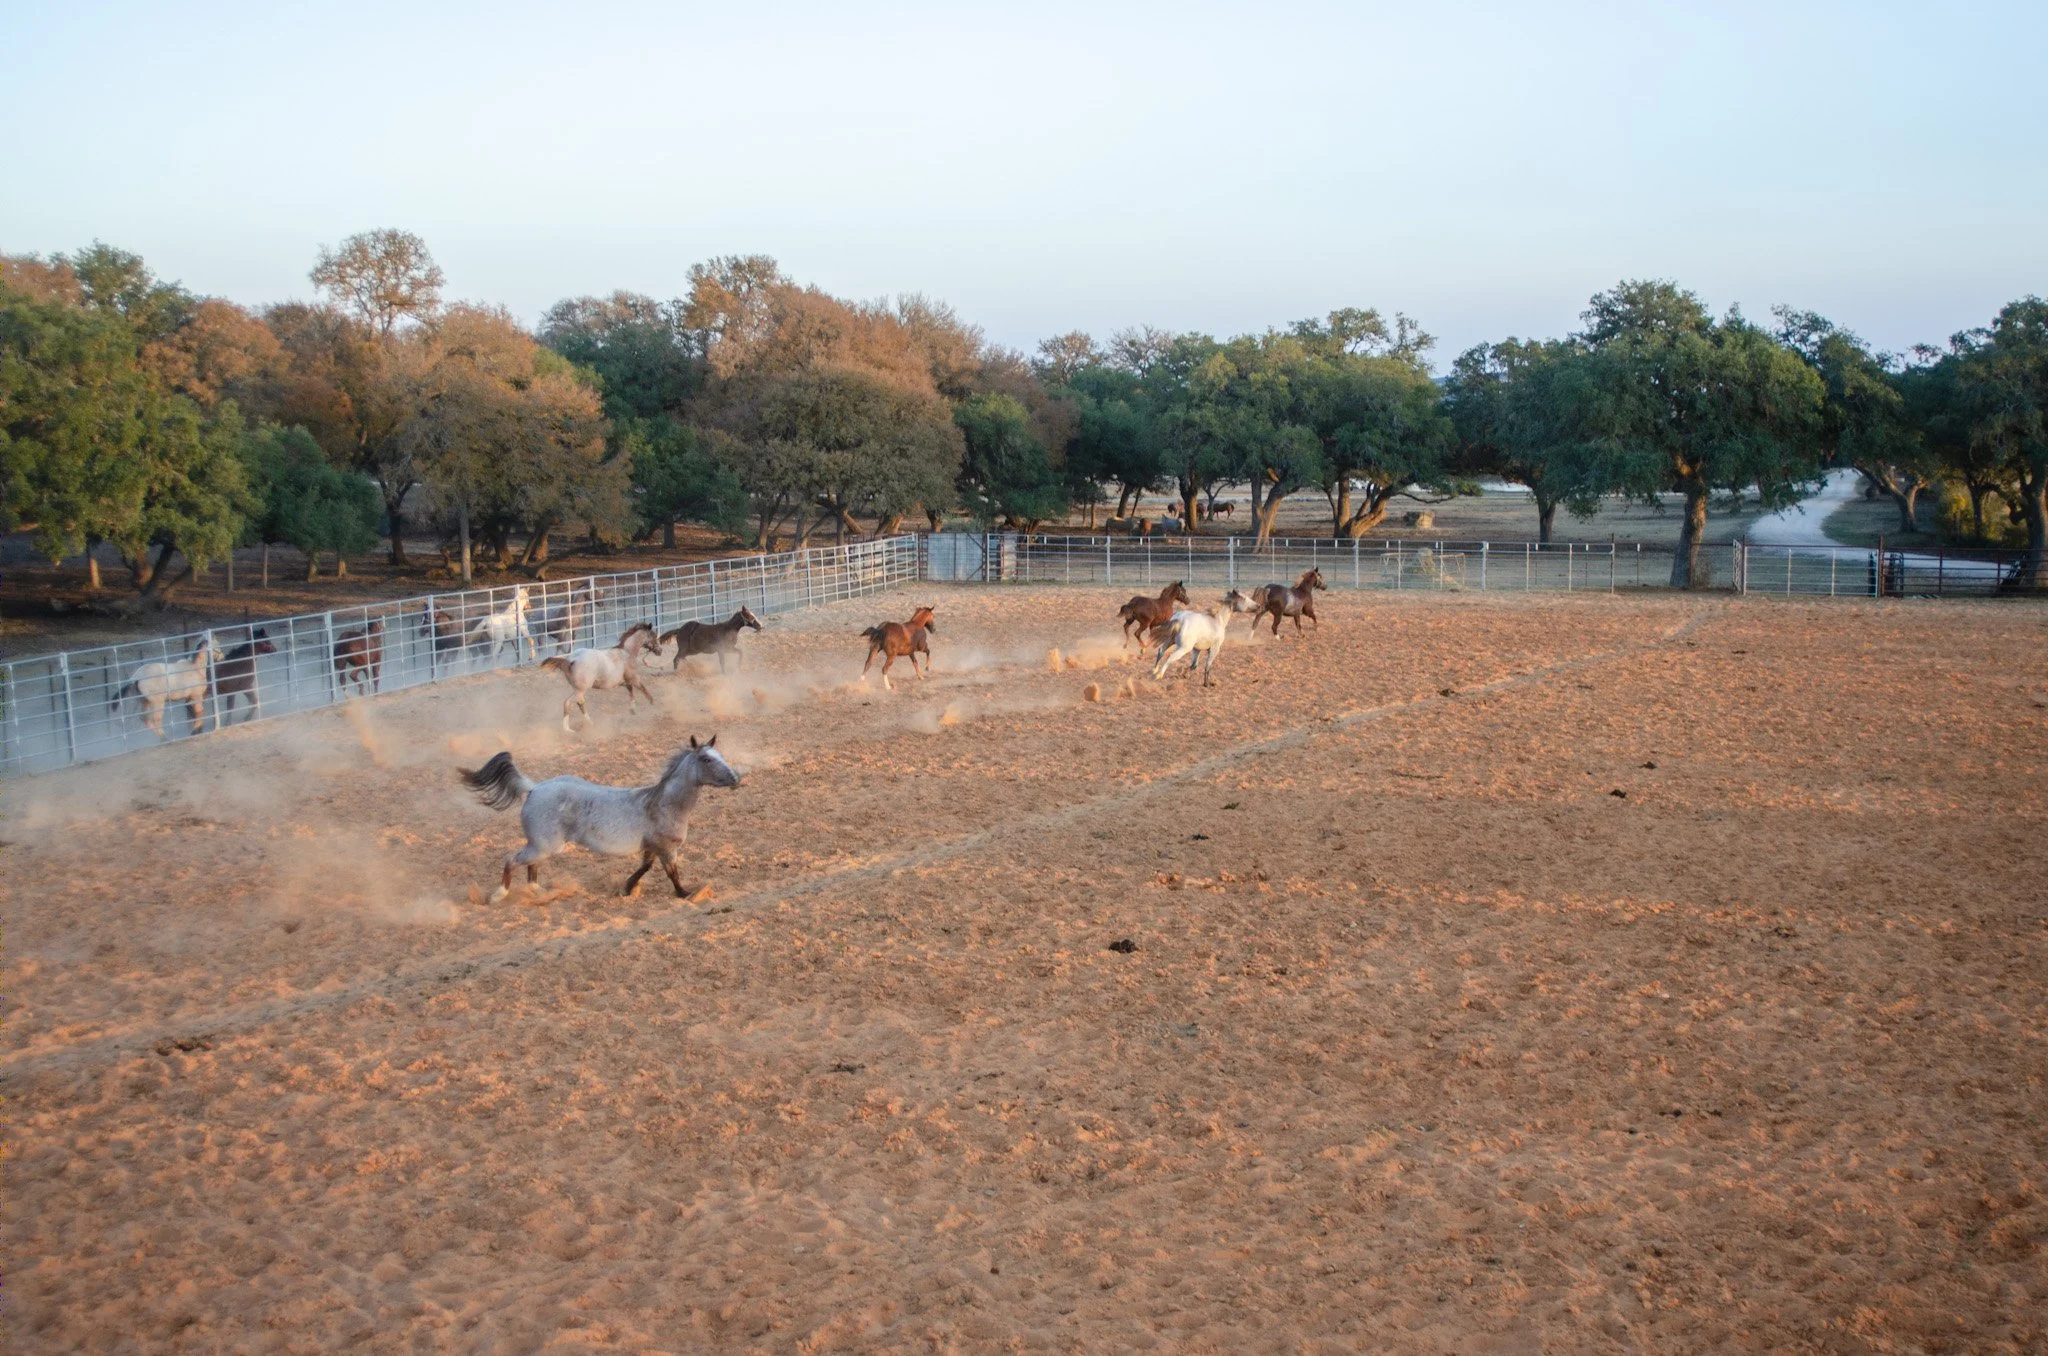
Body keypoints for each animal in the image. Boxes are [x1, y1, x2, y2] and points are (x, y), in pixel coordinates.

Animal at [459, 735, 742, 901]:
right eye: (706, 759)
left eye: (720, 756)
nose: (735, 778)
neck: (663, 804)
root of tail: (535, 788)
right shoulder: (666, 849)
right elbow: (671, 873)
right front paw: (685, 894)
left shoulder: (652, 848)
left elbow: (644, 868)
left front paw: (625, 890)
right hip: (544, 845)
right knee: (512, 860)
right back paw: (498, 895)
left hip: (542, 846)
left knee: (531, 866)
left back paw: (540, 893)